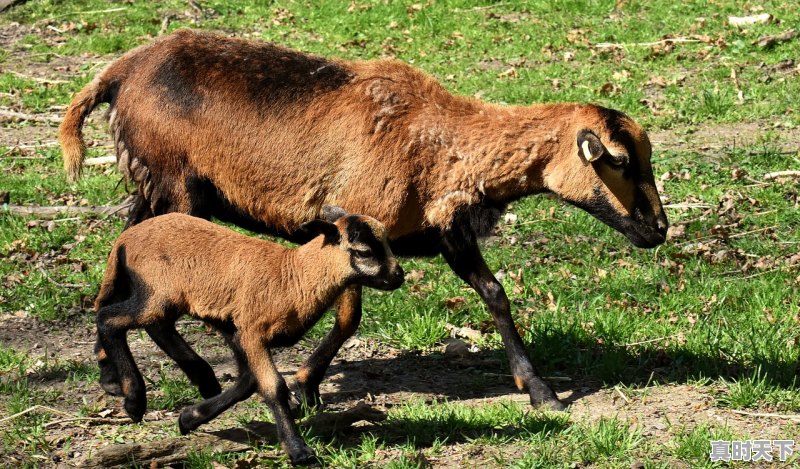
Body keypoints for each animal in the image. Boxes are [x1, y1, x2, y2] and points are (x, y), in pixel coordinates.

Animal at [94, 209, 404, 464]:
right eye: (363, 252)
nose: (399, 276)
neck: (294, 276)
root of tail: (125, 239)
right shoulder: (252, 331)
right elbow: (273, 387)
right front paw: (299, 451)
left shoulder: (237, 331)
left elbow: (247, 382)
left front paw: (190, 418)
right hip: (155, 292)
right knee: (109, 319)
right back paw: (134, 401)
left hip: (165, 298)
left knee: (158, 326)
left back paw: (204, 381)